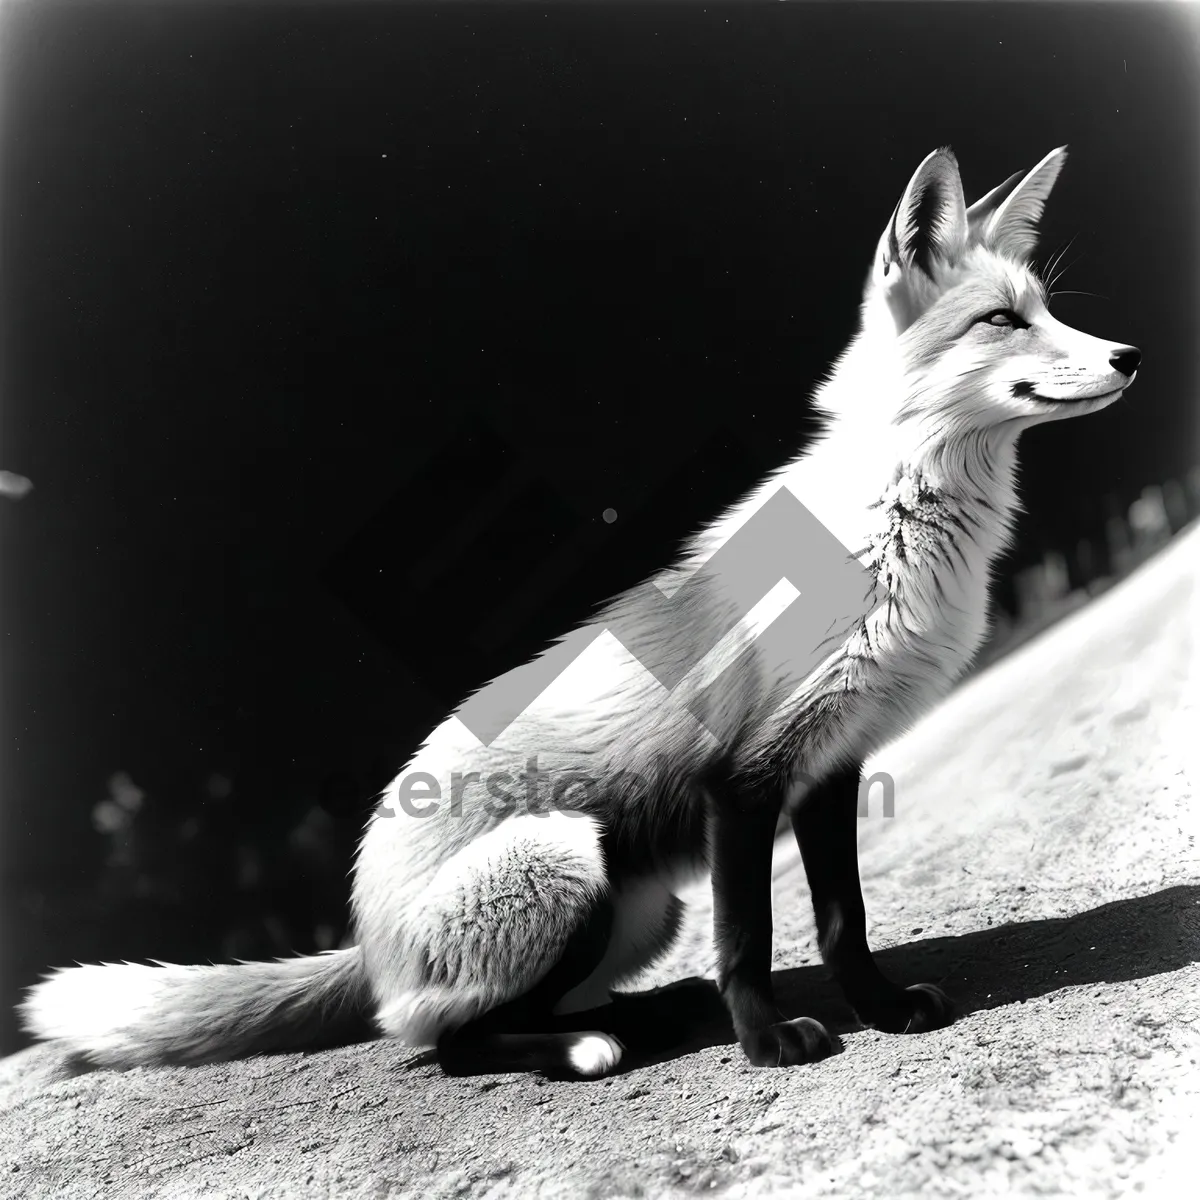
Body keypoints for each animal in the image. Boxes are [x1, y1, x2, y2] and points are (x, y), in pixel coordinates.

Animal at [23, 145, 1137, 1084]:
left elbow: (842, 921)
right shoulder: (742, 778)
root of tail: (367, 939)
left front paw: (879, 1008)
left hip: (641, 907)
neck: (890, 535)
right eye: (1001, 321)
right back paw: (592, 1047)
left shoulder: (830, 764)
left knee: (505, 1014)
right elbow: (750, 941)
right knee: (445, 1045)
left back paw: (647, 1014)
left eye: (1048, 310)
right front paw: (768, 1042)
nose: (1129, 354)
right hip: (563, 863)